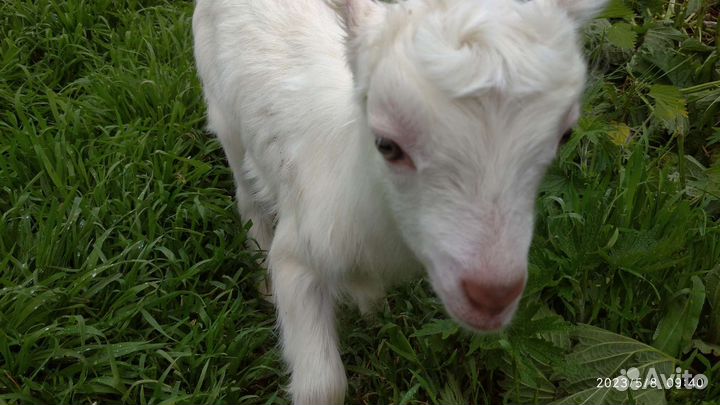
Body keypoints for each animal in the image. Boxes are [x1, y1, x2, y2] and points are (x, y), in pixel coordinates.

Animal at [192, 0, 607, 403]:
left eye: (565, 134)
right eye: (387, 145)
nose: (493, 295)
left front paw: (372, 308)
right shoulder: (299, 250)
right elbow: (323, 386)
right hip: (220, 107)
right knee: (245, 186)